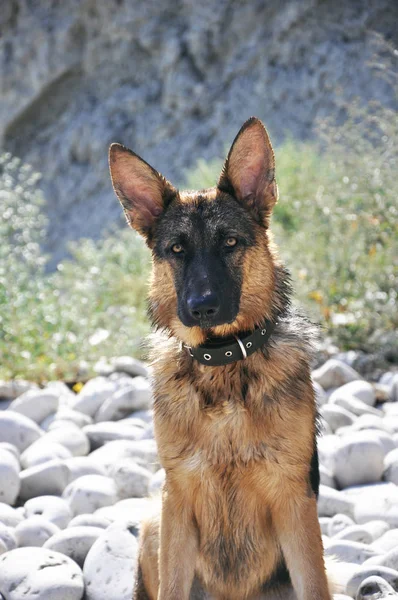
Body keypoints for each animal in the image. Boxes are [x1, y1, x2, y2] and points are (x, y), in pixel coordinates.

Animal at [108, 118, 332, 600]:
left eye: (230, 242)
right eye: (176, 250)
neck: (224, 364)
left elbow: (313, 585)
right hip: (154, 523)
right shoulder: (177, 500)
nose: (202, 308)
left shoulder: (294, 501)